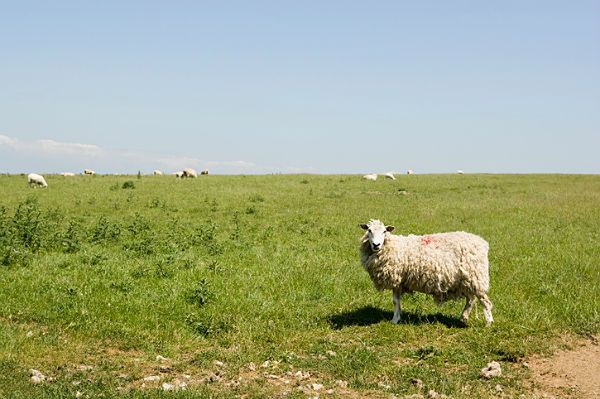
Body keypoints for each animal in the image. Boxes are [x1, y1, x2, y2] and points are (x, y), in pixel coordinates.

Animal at [360, 220, 492, 326]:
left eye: (384, 232)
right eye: (369, 230)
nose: (376, 245)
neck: (393, 246)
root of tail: (482, 242)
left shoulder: (397, 278)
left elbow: (395, 301)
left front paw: (394, 320)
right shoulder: (399, 281)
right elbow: (396, 301)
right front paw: (397, 318)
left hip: (476, 276)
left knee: (484, 301)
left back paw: (488, 323)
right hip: (466, 279)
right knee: (471, 299)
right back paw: (464, 317)